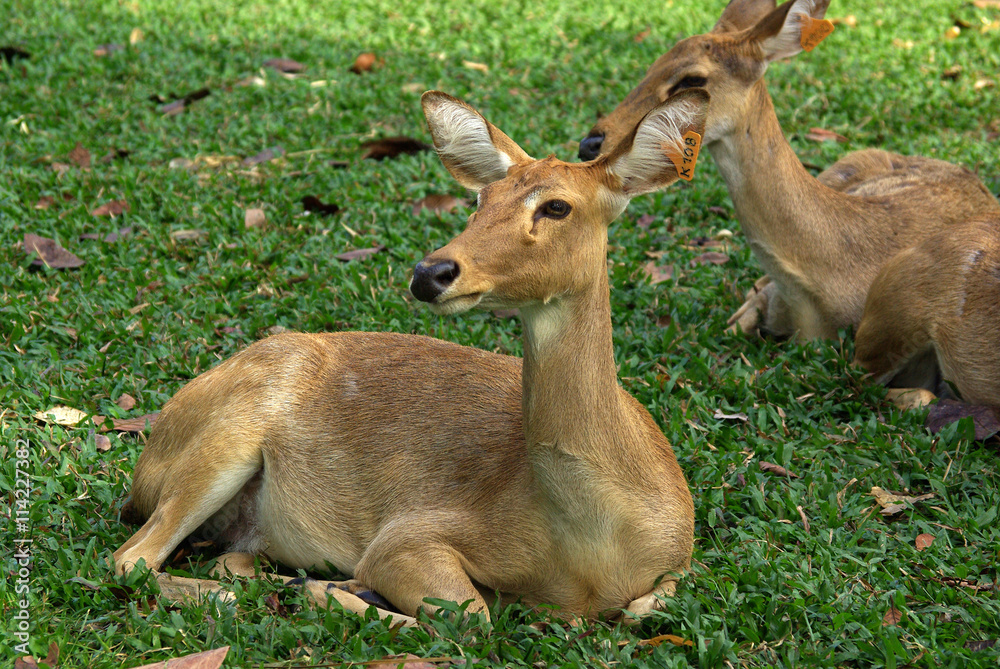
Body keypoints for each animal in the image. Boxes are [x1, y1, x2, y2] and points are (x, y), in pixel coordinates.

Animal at [111, 88, 712, 628]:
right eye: (480, 201)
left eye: (557, 206)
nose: (431, 272)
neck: (594, 548)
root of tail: (148, 459)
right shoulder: (410, 531)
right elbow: (471, 617)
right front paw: (343, 591)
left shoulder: (682, 563)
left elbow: (644, 607)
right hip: (226, 437)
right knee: (132, 559)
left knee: (220, 558)